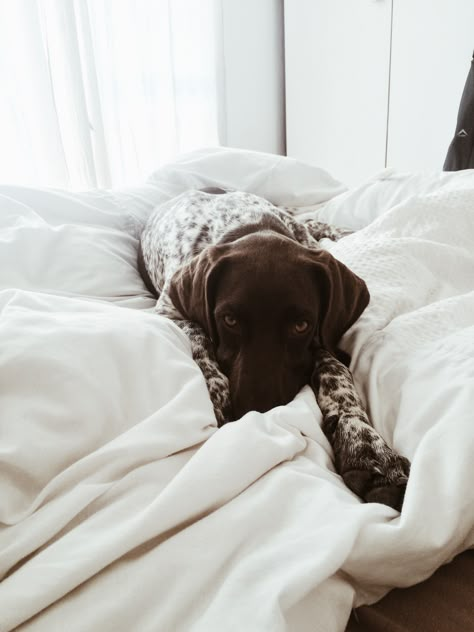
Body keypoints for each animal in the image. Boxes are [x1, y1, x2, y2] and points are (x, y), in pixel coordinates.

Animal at [138, 186, 412, 508]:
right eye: (229, 320)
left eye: (301, 325)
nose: (258, 412)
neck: (249, 224)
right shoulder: (169, 310)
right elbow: (197, 334)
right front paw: (216, 390)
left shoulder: (323, 333)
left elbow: (336, 371)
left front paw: (367, 447)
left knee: (311, 221)